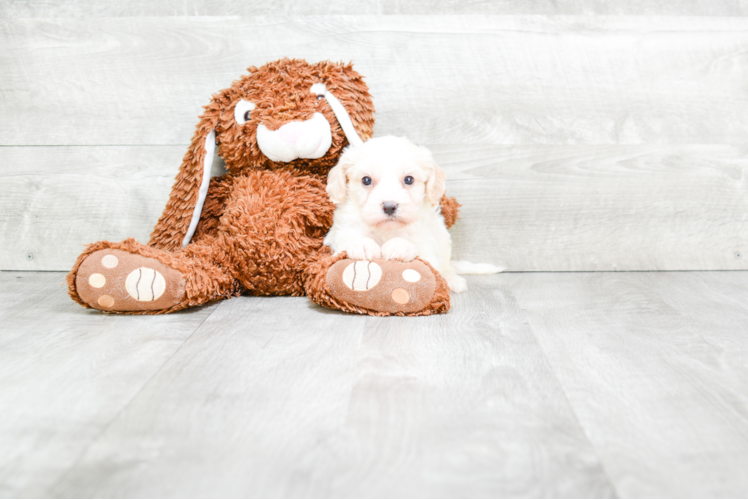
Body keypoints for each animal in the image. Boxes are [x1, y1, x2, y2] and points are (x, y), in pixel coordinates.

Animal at [322, 137, 502, 292]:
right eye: (366, 180)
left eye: (409, 179)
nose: (389, 206)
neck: (388, 230)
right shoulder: (341, 231)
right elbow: (349, 237)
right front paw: (362, 244)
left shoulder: (427, 245)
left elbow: (419, 251)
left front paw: (399, 246)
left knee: (445, 266)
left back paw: (451, 278)